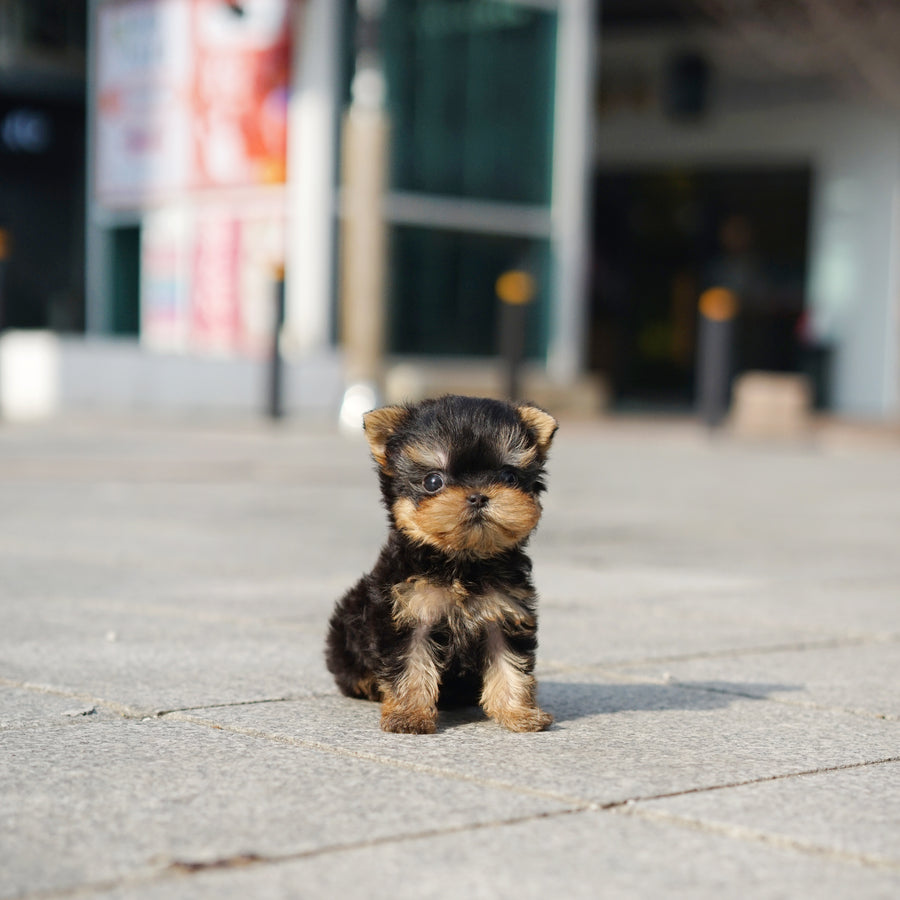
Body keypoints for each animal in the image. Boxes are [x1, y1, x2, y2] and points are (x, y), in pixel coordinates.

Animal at [326, 394, 560, 732]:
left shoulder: (504, 613)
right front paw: (408, 715)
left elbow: (510, 664)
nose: (478, 496)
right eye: (433, 481)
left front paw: (519, 713)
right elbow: (410, 665)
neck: (462, 562)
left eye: (508, 477)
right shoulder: (409, 614)